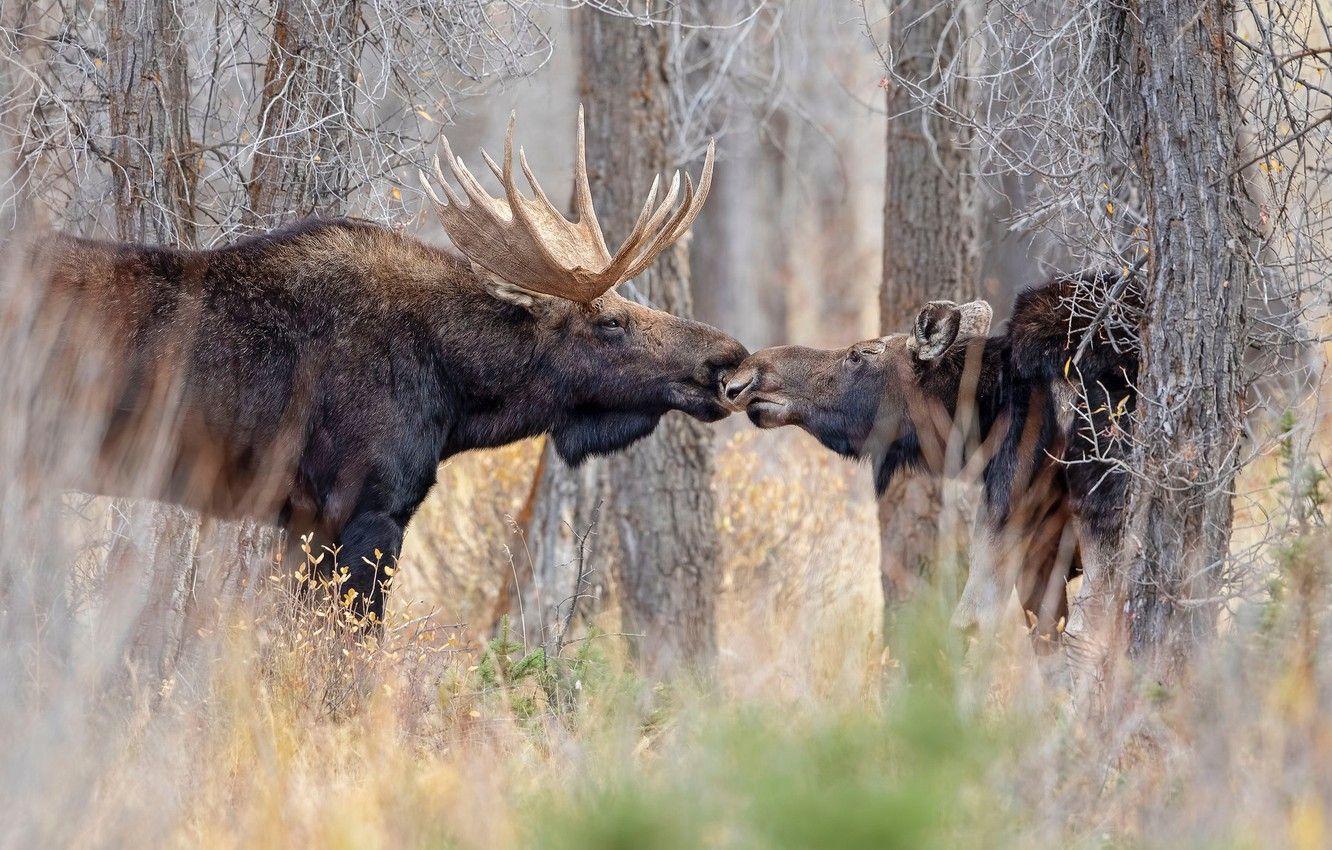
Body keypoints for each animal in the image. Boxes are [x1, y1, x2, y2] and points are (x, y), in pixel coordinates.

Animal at [724, 277, 1140, 650]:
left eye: (857, 355)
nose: (747, 375)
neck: (987, 406)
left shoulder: (1011, 503)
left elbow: (973, 625)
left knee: (1086, 630)